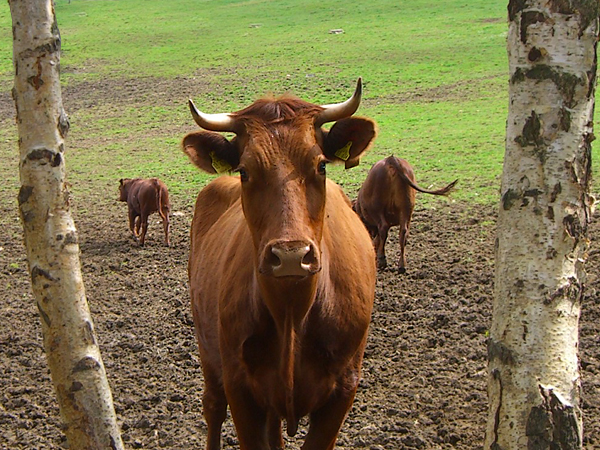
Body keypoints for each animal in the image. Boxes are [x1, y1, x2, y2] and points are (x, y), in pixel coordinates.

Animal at [183, 79, 378, 448]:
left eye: (321, 165)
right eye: (245, 171)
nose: (290, 255)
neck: (291, 312)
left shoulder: (343, 389)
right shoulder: (240, 387)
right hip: (208, 348)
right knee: (213, 407)